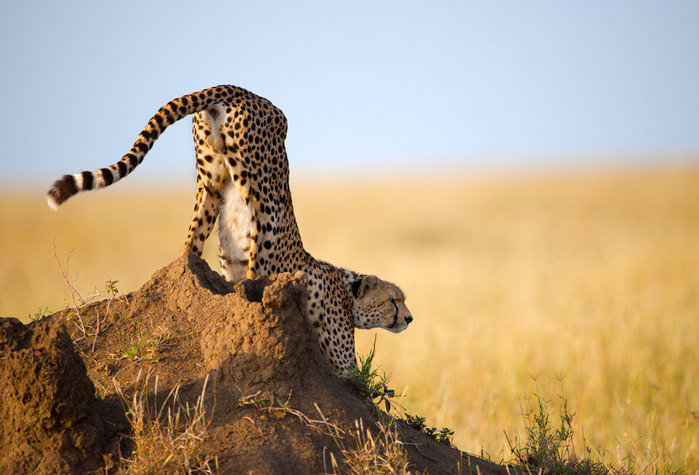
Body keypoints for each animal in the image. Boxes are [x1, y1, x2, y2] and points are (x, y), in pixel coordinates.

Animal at [45, 84, 416, 376]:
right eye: (393, 300)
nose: (409, 319)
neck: (345, 286)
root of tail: (238, 88)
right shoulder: (339, 359)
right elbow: (361, 381)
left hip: (209, 184)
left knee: (190, 248)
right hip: (268, 193)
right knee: (255, 269)